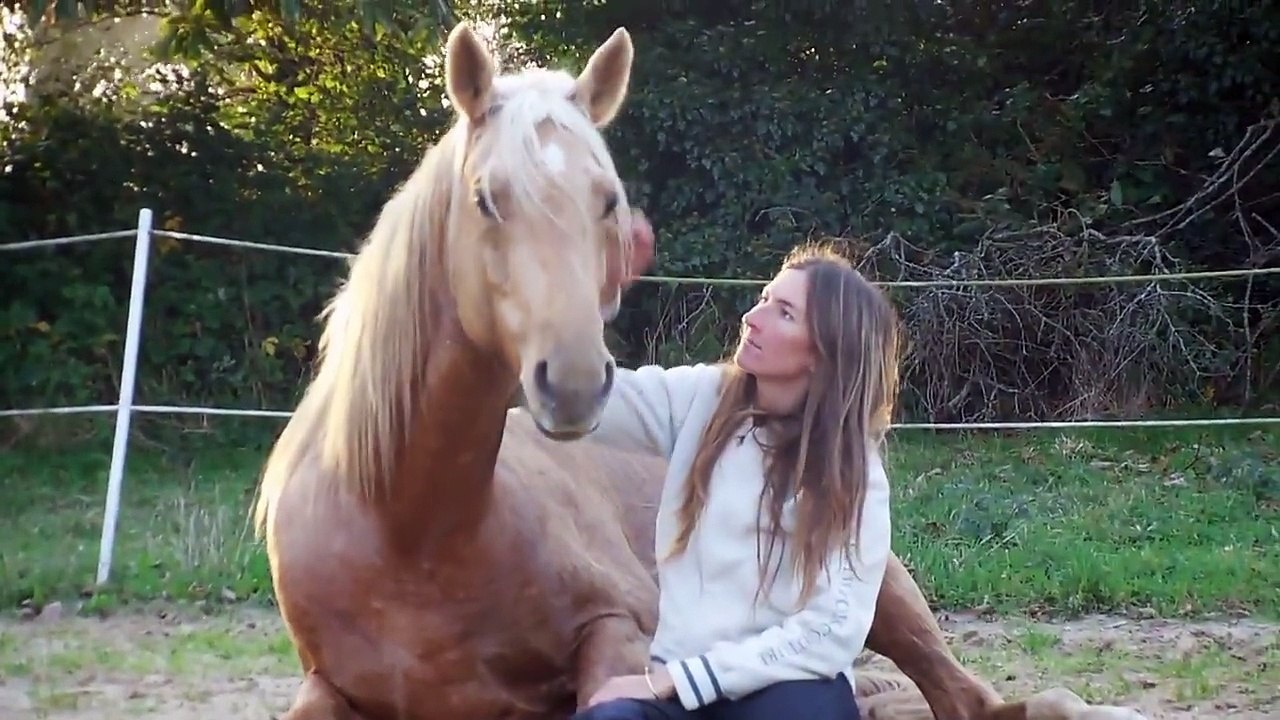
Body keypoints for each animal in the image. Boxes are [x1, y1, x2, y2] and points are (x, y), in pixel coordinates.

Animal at [253, 22, 1148, 720]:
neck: (411, 530)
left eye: (608, 200)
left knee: (979, 699)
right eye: (484, 198)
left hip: (889, 597)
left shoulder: (619, 633)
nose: (573, 383)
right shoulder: (326, 687)